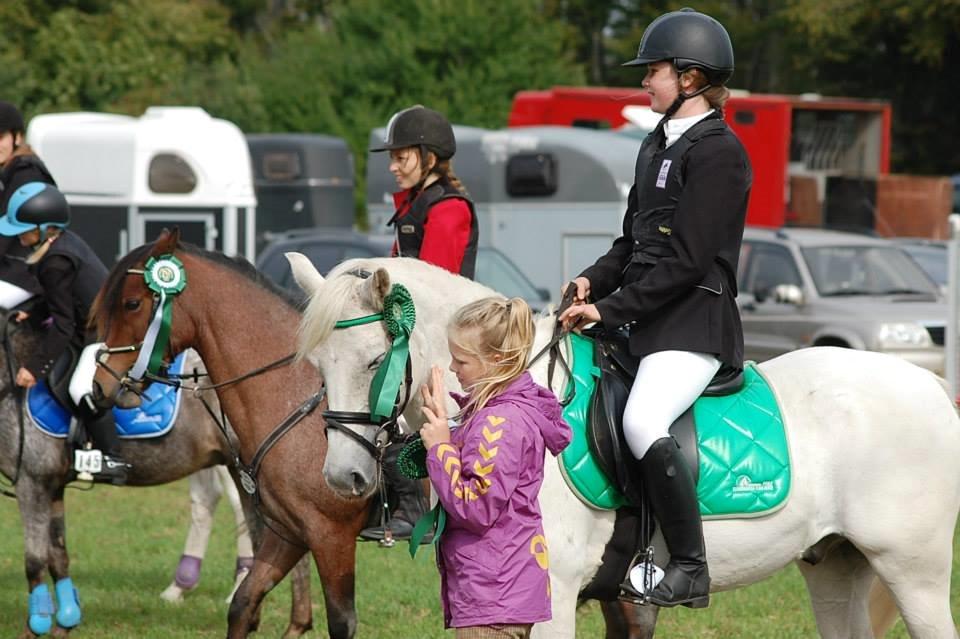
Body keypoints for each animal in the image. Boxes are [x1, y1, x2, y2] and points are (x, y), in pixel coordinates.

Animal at [89, 232, 368, 639]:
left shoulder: (332, 535)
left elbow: (342, 623)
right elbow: (243, 604)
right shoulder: (290, 530)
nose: (101, 385)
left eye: (132, 303)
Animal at [286, 256, 960, 639]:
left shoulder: (554, 596)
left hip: (913, 571)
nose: (343, 477)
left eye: (373, 362)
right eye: (316, 365)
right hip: (835, 565)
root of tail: (932, 385)